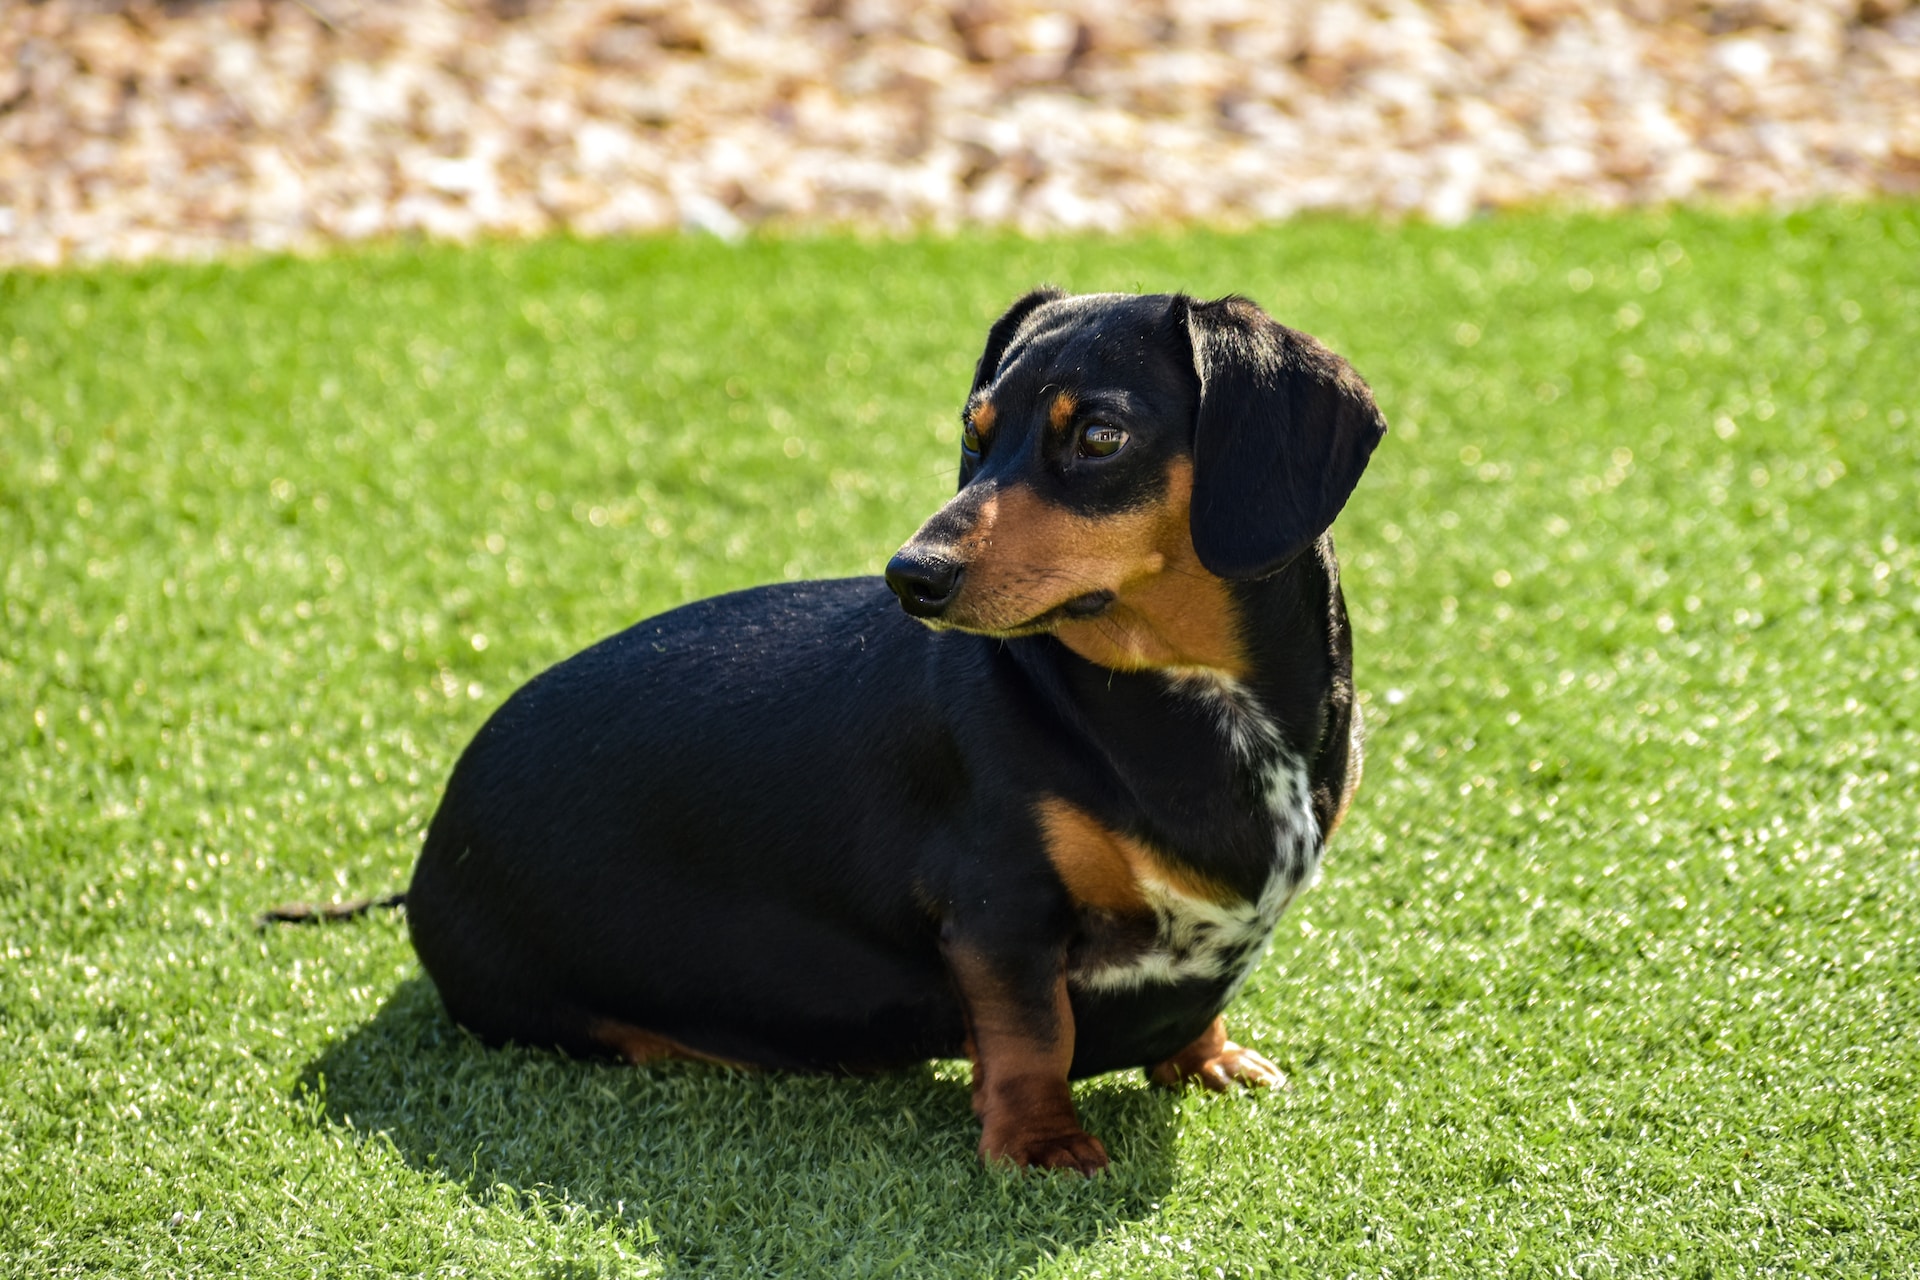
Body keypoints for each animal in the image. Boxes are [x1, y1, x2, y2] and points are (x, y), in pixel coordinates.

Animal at [408, 287, 1382, 1174]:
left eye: (1100, 437)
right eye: (974, 435)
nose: (910, 576)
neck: (1185, 696)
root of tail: (429, 859)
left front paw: (1206, 1059)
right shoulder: (998, 909)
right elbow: (1035, 1032)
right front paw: (1039, 1142)